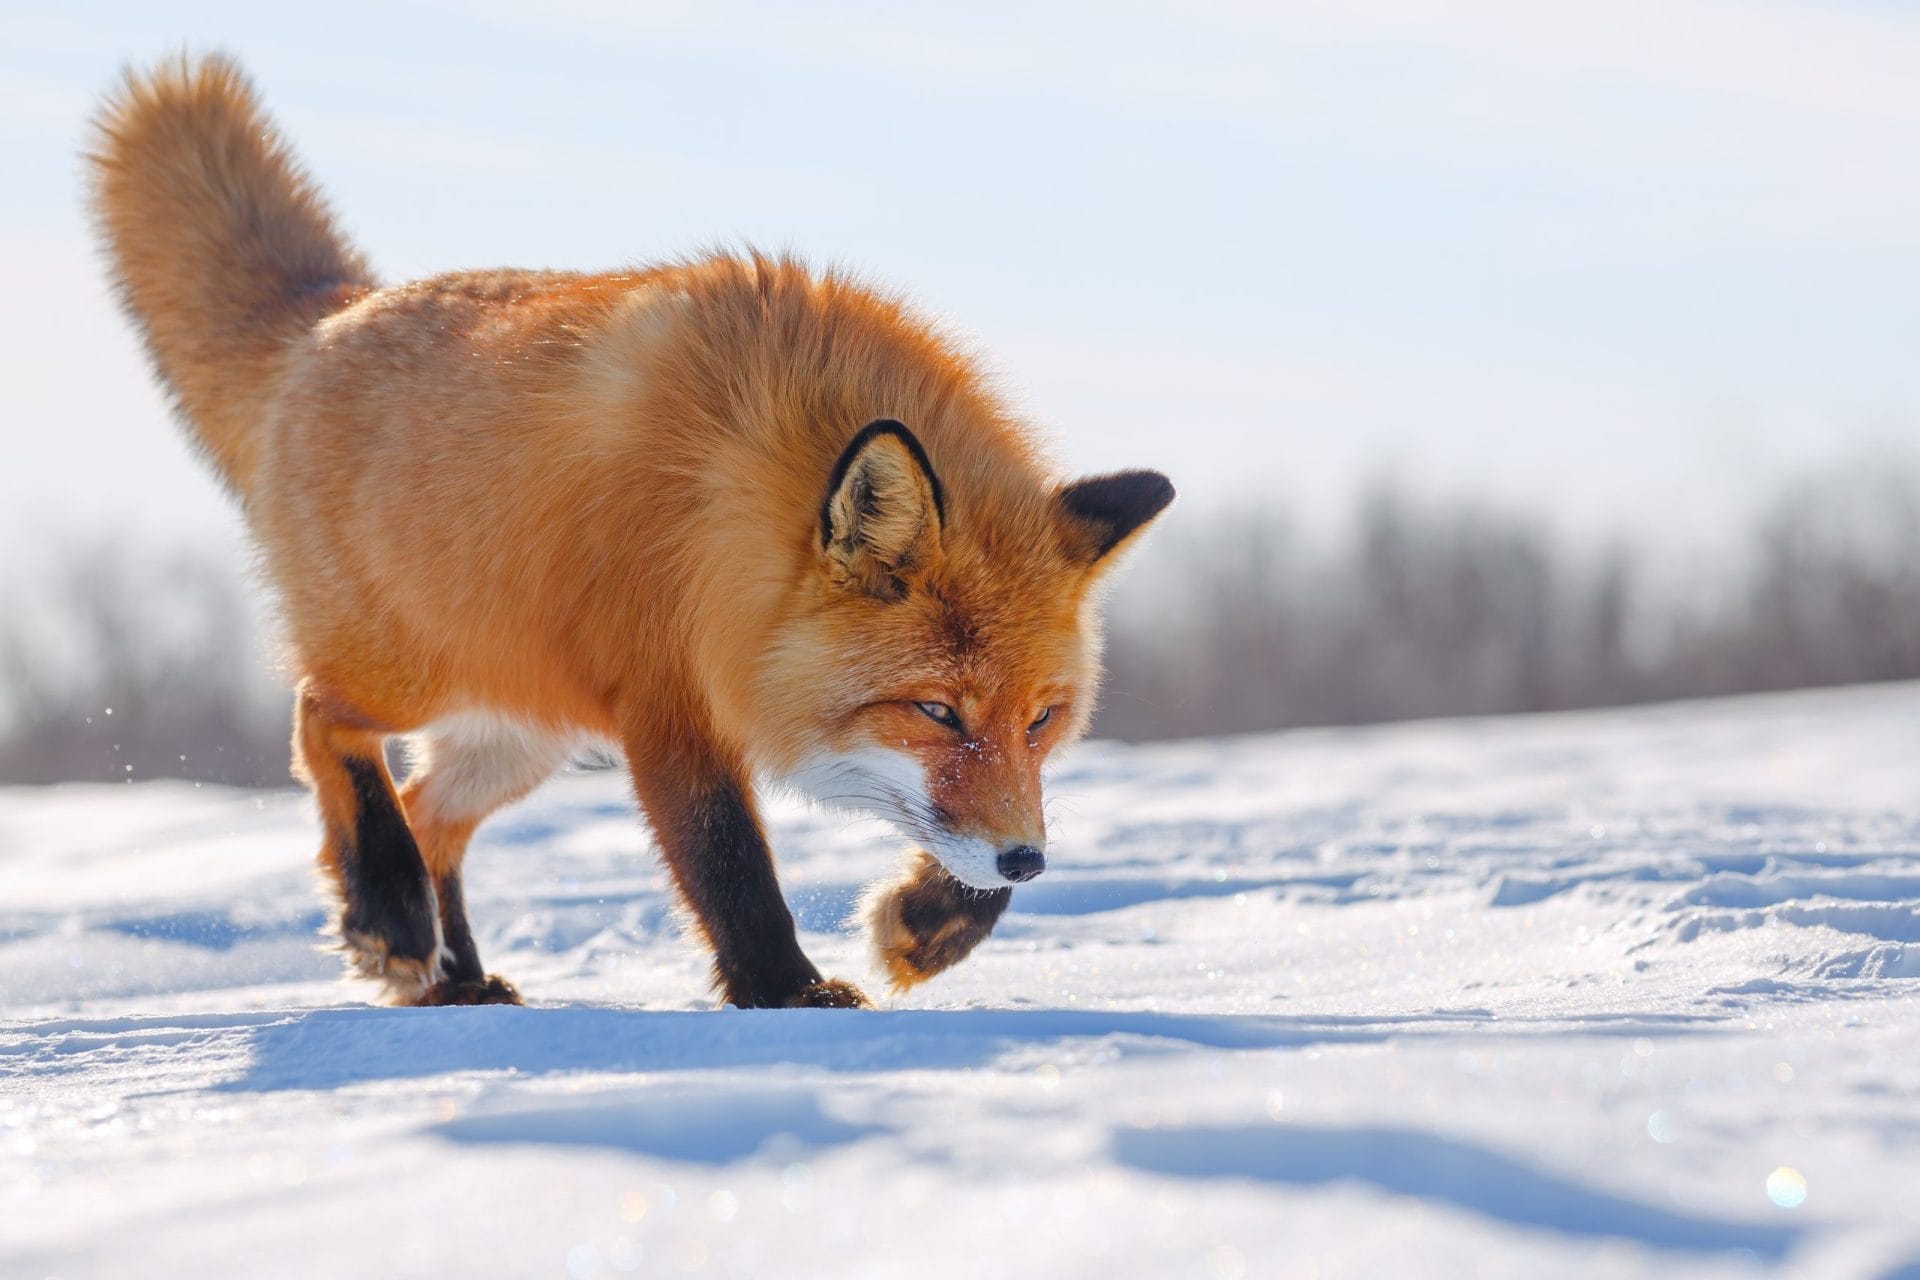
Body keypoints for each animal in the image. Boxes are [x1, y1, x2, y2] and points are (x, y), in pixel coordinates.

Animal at [86, 54, 1172, 1010]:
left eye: (1042, 719)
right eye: (937, 711)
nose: (1027, 863)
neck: (736, 489)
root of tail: (330, 318)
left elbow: (962, 839)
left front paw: (930, 925)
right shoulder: (667, 698)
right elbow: (729, 862)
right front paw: (789, 994)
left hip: (521, 733)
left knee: (432, 817)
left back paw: (452, 977)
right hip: (415, 672)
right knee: (323, 722)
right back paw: (391, 916)